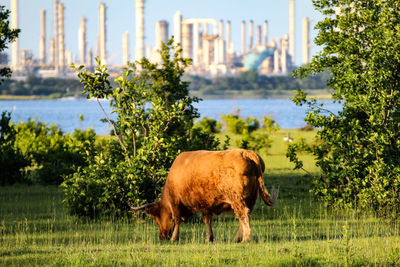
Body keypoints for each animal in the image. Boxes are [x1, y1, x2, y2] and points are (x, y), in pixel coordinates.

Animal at [128, 150, 278, 244]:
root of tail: (246, 152)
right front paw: (209, 238)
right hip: (250, 199)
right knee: (245, 216)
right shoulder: (207, 203)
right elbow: (207, 220)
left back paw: (246, 239)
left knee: (244, 216)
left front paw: (174, 238)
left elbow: (177, 219)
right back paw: (237, 239)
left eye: (157, 218)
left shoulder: (175, 202)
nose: (162, 237)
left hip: (238, 199)